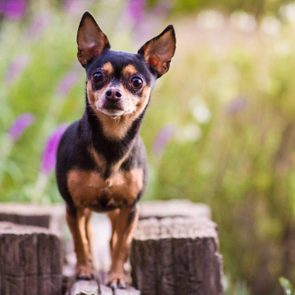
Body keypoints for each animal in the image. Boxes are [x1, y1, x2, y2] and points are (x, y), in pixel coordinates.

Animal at [55, 11, 176, 290]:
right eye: (98, 76)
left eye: (137, 81)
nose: (113, 93)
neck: (111, 143)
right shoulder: (73, 206)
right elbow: (80, 241)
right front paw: (84, 269)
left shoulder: (130, 208)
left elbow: (122, 244)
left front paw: (117, 276)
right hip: (84, 210)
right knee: (87, 235)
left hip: (115, 212)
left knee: (113, 239)